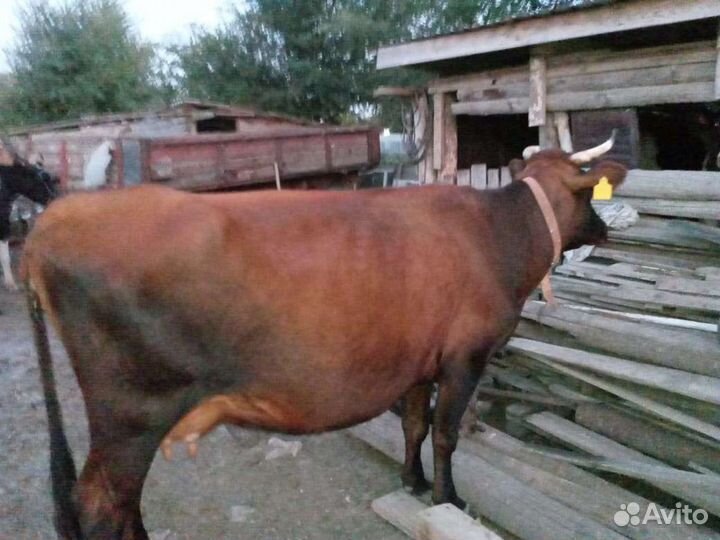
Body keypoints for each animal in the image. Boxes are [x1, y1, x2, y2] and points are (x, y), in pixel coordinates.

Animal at [22, 138, 626, 539]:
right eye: (588, 194)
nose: (605, 229)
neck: (497, 234)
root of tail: (53, 220)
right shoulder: (464, 358)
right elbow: (447, 434)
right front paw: (447, 498)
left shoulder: (418, 358)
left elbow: (413, 425)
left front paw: (410, 481)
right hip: (133, 410)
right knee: (102, 505)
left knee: (119, 502)